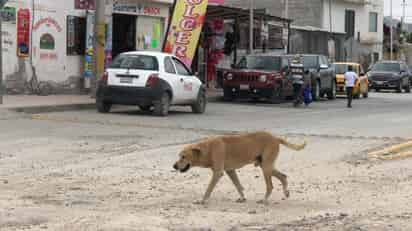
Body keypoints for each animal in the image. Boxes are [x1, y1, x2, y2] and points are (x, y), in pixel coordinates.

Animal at [173, 131, 306, 205]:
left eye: (183, 157)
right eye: (179, 156)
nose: (174, 166)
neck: (208, 149)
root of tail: (275, 137)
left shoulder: (218, 173)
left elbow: (208, 189)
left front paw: (202, 201)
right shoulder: (230, 171)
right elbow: (238, 185)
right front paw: (242, 198)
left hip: (266, 167)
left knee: (270, 186)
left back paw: (264, 200)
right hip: (265, 165)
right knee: (283, 176)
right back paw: (286, 192)